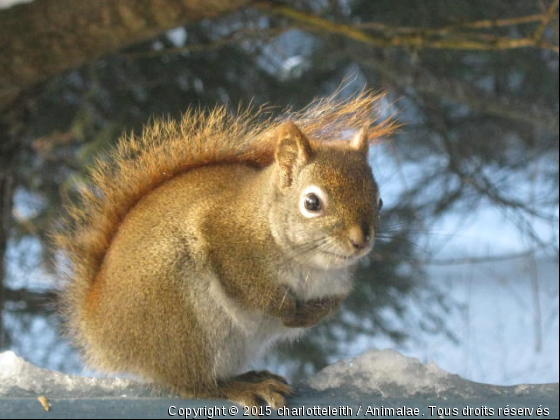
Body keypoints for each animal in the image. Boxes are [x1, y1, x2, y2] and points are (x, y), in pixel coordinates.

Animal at [52, 90, 394, 408]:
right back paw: (243, 387)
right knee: (195, 384)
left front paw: (311, 315)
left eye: (379, 201)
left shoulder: (335, 282)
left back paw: (253, 375)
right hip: (182, 321)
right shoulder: (222, 238)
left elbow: (333, 304)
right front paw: (287, 310)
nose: (361, 240)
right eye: (312, 202)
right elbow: (252, 287)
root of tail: (101, 329)